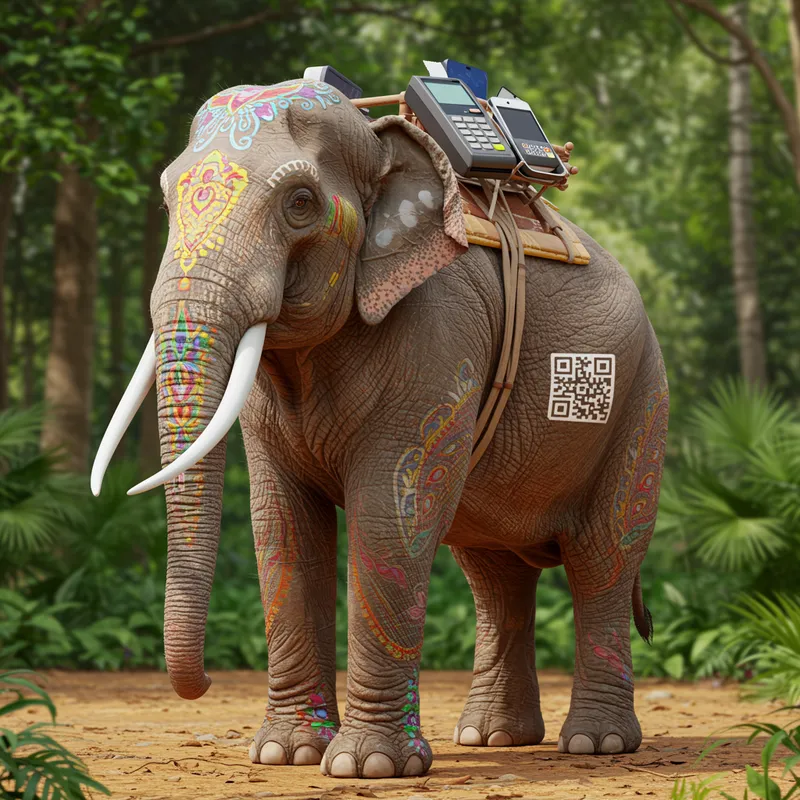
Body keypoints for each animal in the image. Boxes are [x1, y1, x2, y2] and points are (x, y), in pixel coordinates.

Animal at [92, 78, 669, 780]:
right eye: (168, 197)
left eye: (301, 203)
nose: (200, 686)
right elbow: (281, 524)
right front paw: (285, 753)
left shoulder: (439, 339)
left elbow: (393, 514)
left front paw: (363, 767)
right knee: (494, 574)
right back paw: (491, 738)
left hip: (640, 405)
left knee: (603, 558)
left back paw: (595, 744)